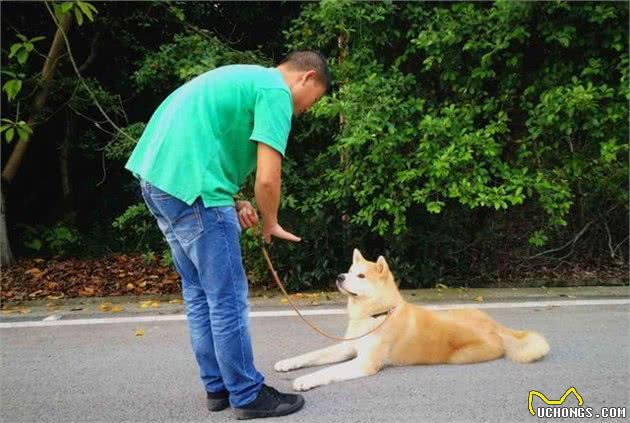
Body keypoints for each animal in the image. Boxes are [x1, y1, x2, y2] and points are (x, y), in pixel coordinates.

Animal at [274, 250, 552, 392]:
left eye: (361, 276)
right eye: (350, 271)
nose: (339, 277)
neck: (376, 315)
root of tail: (496, 327)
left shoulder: (364, 363)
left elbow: (327, 371)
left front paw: (305, 380)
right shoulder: (347, 348)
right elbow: (312, 355)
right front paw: (287, 363)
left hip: (461, 356)